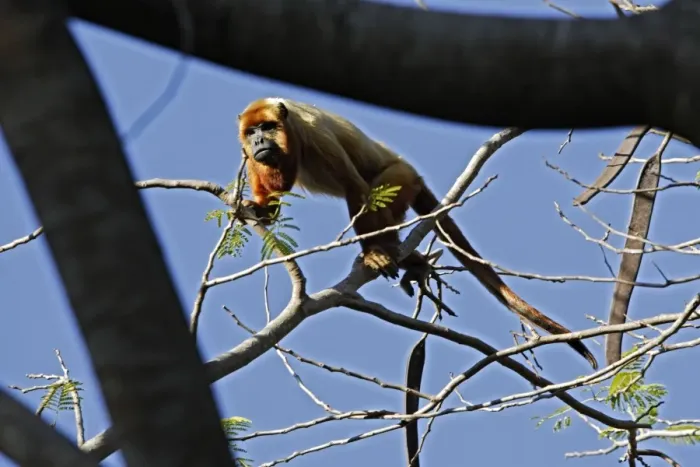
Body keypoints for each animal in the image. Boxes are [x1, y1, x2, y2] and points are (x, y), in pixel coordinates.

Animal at [237, 97, 598, 370]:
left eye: (267, 127)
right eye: (252, 131)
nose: (258, 140)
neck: (290, 132)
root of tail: (415, 173)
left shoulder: (316, 135)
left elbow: (355, 188)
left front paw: (374, 253)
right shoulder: (251, 156)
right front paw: (261, 212)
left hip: (402, 177)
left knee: (373, 190)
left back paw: (387, 253)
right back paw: (413, 260)